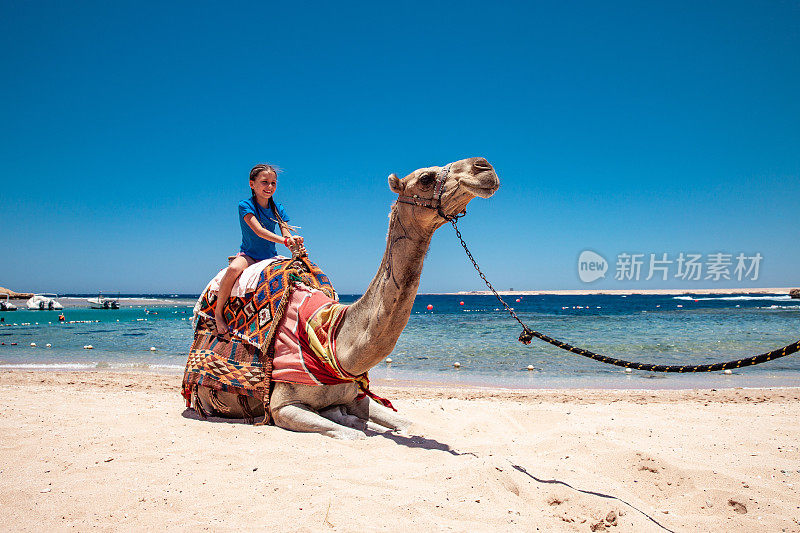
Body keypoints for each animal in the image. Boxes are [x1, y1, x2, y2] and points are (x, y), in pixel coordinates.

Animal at [192, 156, 500, 438]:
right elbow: (353, 434)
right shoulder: (282, 406)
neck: (333, 338)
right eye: (426, 178)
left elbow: (408, 423)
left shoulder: (356, 396)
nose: (483, 166)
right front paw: (352, 425)